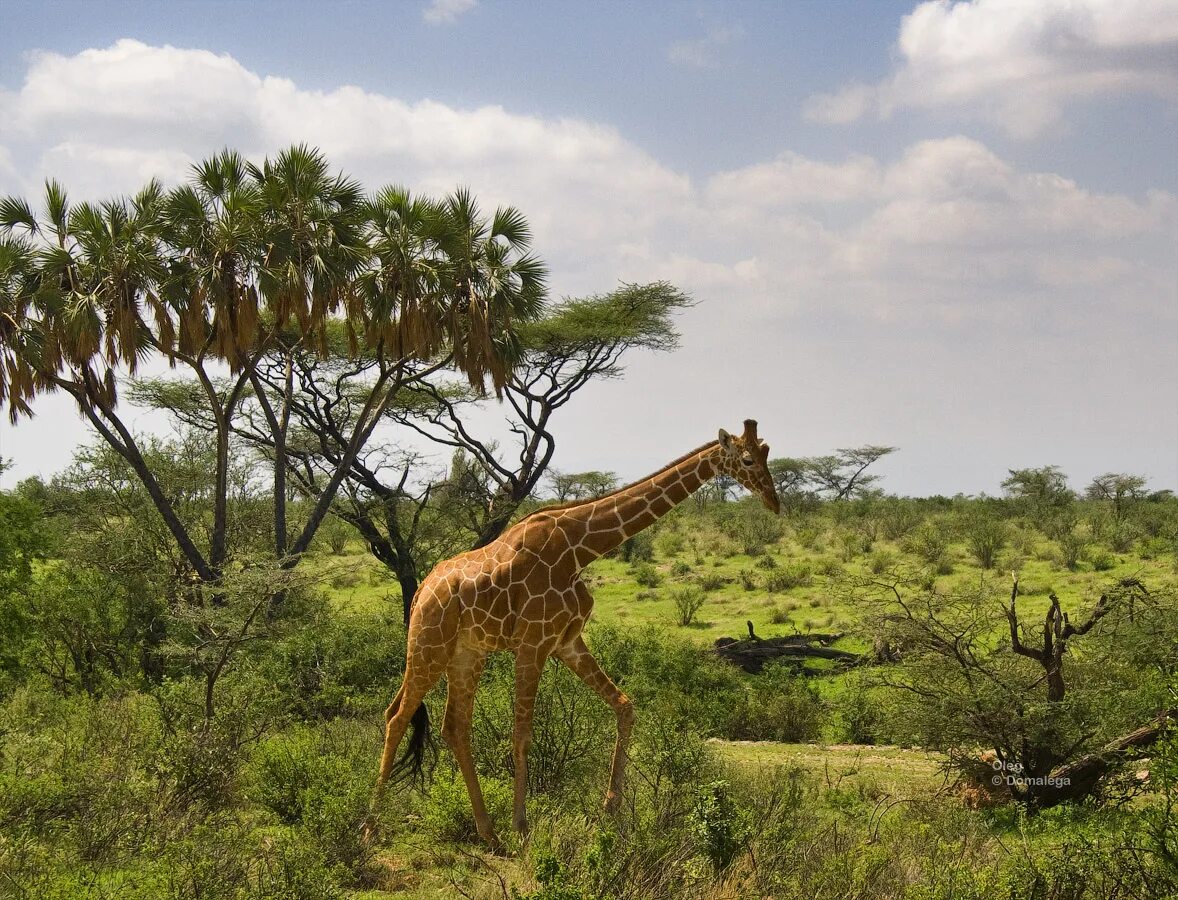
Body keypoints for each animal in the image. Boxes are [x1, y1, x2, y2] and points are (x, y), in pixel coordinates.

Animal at [369, 419, 782, 838]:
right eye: (748, 459)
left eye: (767, 454)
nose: (774, 501)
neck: (580, 549)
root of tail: (421, 591)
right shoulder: (532, 643)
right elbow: (522, 734)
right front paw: (522, 825)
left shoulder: (565, 641)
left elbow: (625, 706)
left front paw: (611, 811)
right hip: (429, 645)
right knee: (397, 716)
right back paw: (371, 826)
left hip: (467, 654)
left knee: (454, 726)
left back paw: (488, 832)